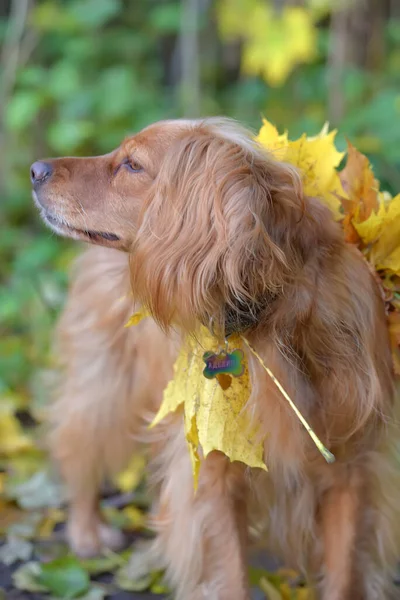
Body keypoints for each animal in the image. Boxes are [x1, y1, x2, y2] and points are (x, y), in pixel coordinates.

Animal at [31, 118, 400, 600]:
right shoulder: (211, 469)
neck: (269, 315)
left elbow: (344, 575)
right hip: (104, 381)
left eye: (132, 165)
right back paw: (86, 530)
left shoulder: (351, 469)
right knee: (77, 447)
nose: (35, 169)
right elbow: (229, 575)